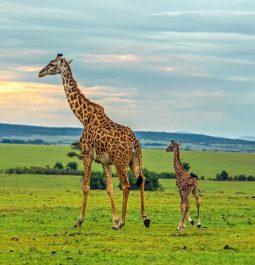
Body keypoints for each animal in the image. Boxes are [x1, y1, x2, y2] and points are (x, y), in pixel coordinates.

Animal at [37, 53, 149, 229]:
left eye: (52, 64)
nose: (40, 73)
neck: (83, 117)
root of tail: (134, 143)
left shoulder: (86, 154)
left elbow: (86, 186)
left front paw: (79, 220)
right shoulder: (104, 161)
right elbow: (109, 188)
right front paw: (114, 219)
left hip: (120, 161)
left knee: (126, 185)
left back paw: (122, 224)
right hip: (134, 160)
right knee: (141, 180)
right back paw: (145, 219)